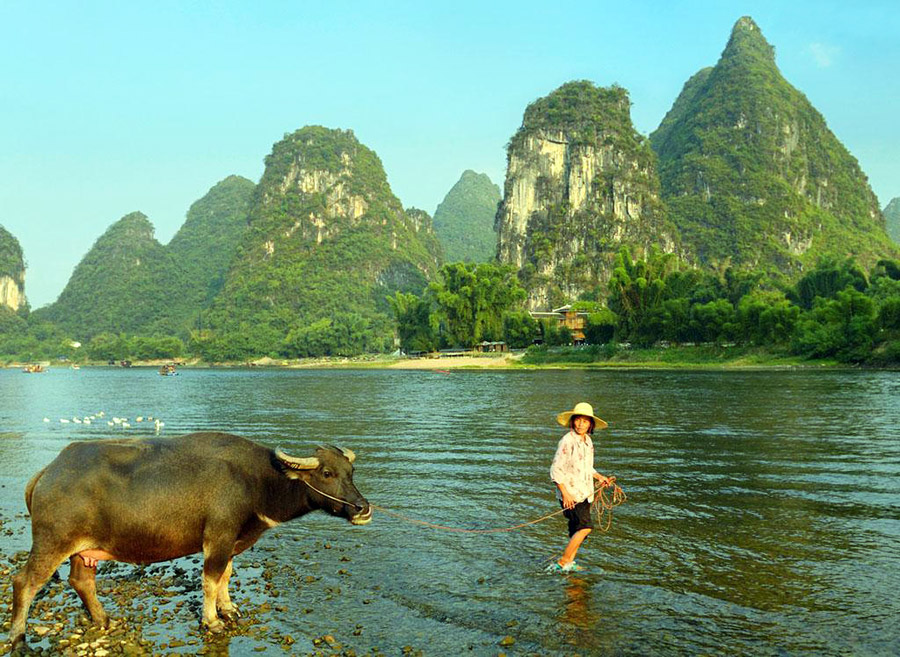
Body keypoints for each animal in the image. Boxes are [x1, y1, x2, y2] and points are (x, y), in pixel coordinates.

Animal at [8, 428, 370, 648]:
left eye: (350, 472)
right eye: (326, 473)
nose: (363, 508)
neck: (256, 481)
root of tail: (47, 473)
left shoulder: (231, 542)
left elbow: (226, 576)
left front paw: (229, 609)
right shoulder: (217, 538)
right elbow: (209, 580)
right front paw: (212, 621)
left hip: (83, 550)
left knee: (81, 582)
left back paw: (104, 618)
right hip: (52, 542)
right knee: (24, 582)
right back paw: (18, 636)